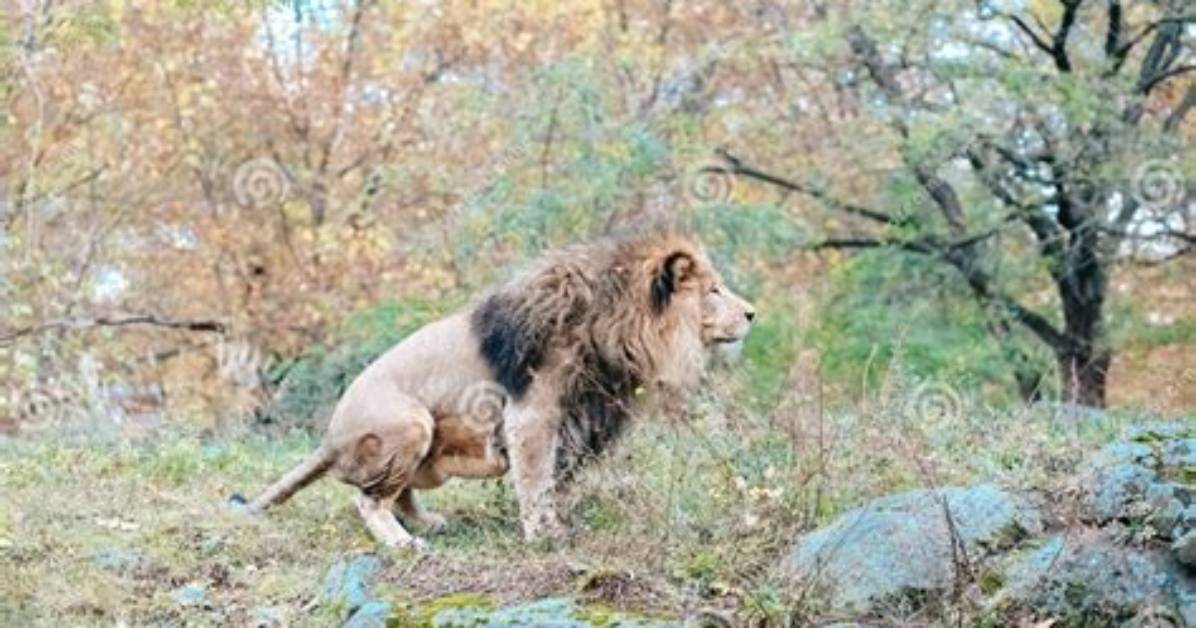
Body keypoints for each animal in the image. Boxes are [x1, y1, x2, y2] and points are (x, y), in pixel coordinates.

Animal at [244, 231, 755, 548]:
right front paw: (544, 537)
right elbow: (534, 481)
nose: (752, 313)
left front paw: (559, 526)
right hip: (411, 421)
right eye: (714, 290)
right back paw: (404, 542)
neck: (614, 328)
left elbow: (556, 483)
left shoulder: (578, 421)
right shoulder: (532, 415)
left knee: (399, 493)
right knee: (367, 500)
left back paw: (427, 521)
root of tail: (328, 440)